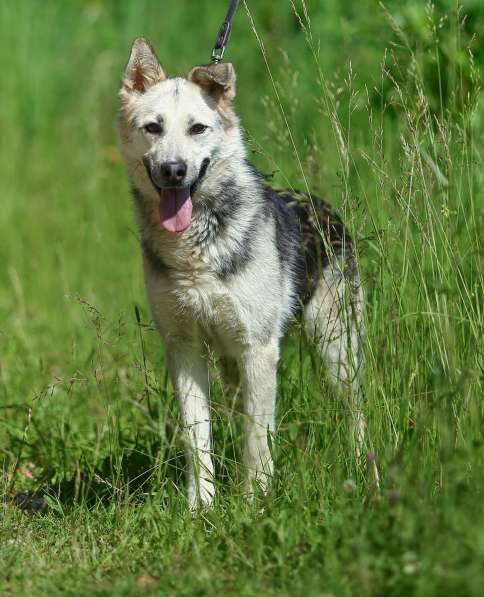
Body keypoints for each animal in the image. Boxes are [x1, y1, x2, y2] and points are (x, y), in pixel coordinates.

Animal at [118, 37, 370, 506]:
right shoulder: (184, 349)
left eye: (197, 129)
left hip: (335, 349)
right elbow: (197, 438)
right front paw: (201, 505)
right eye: (153, 128)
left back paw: (365, 467)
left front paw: (255, 501)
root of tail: (324, 208)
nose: (174, 170)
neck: (196, 252)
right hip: (233, 366)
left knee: (355, 410)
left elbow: (258, 437)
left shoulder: (259, 350)